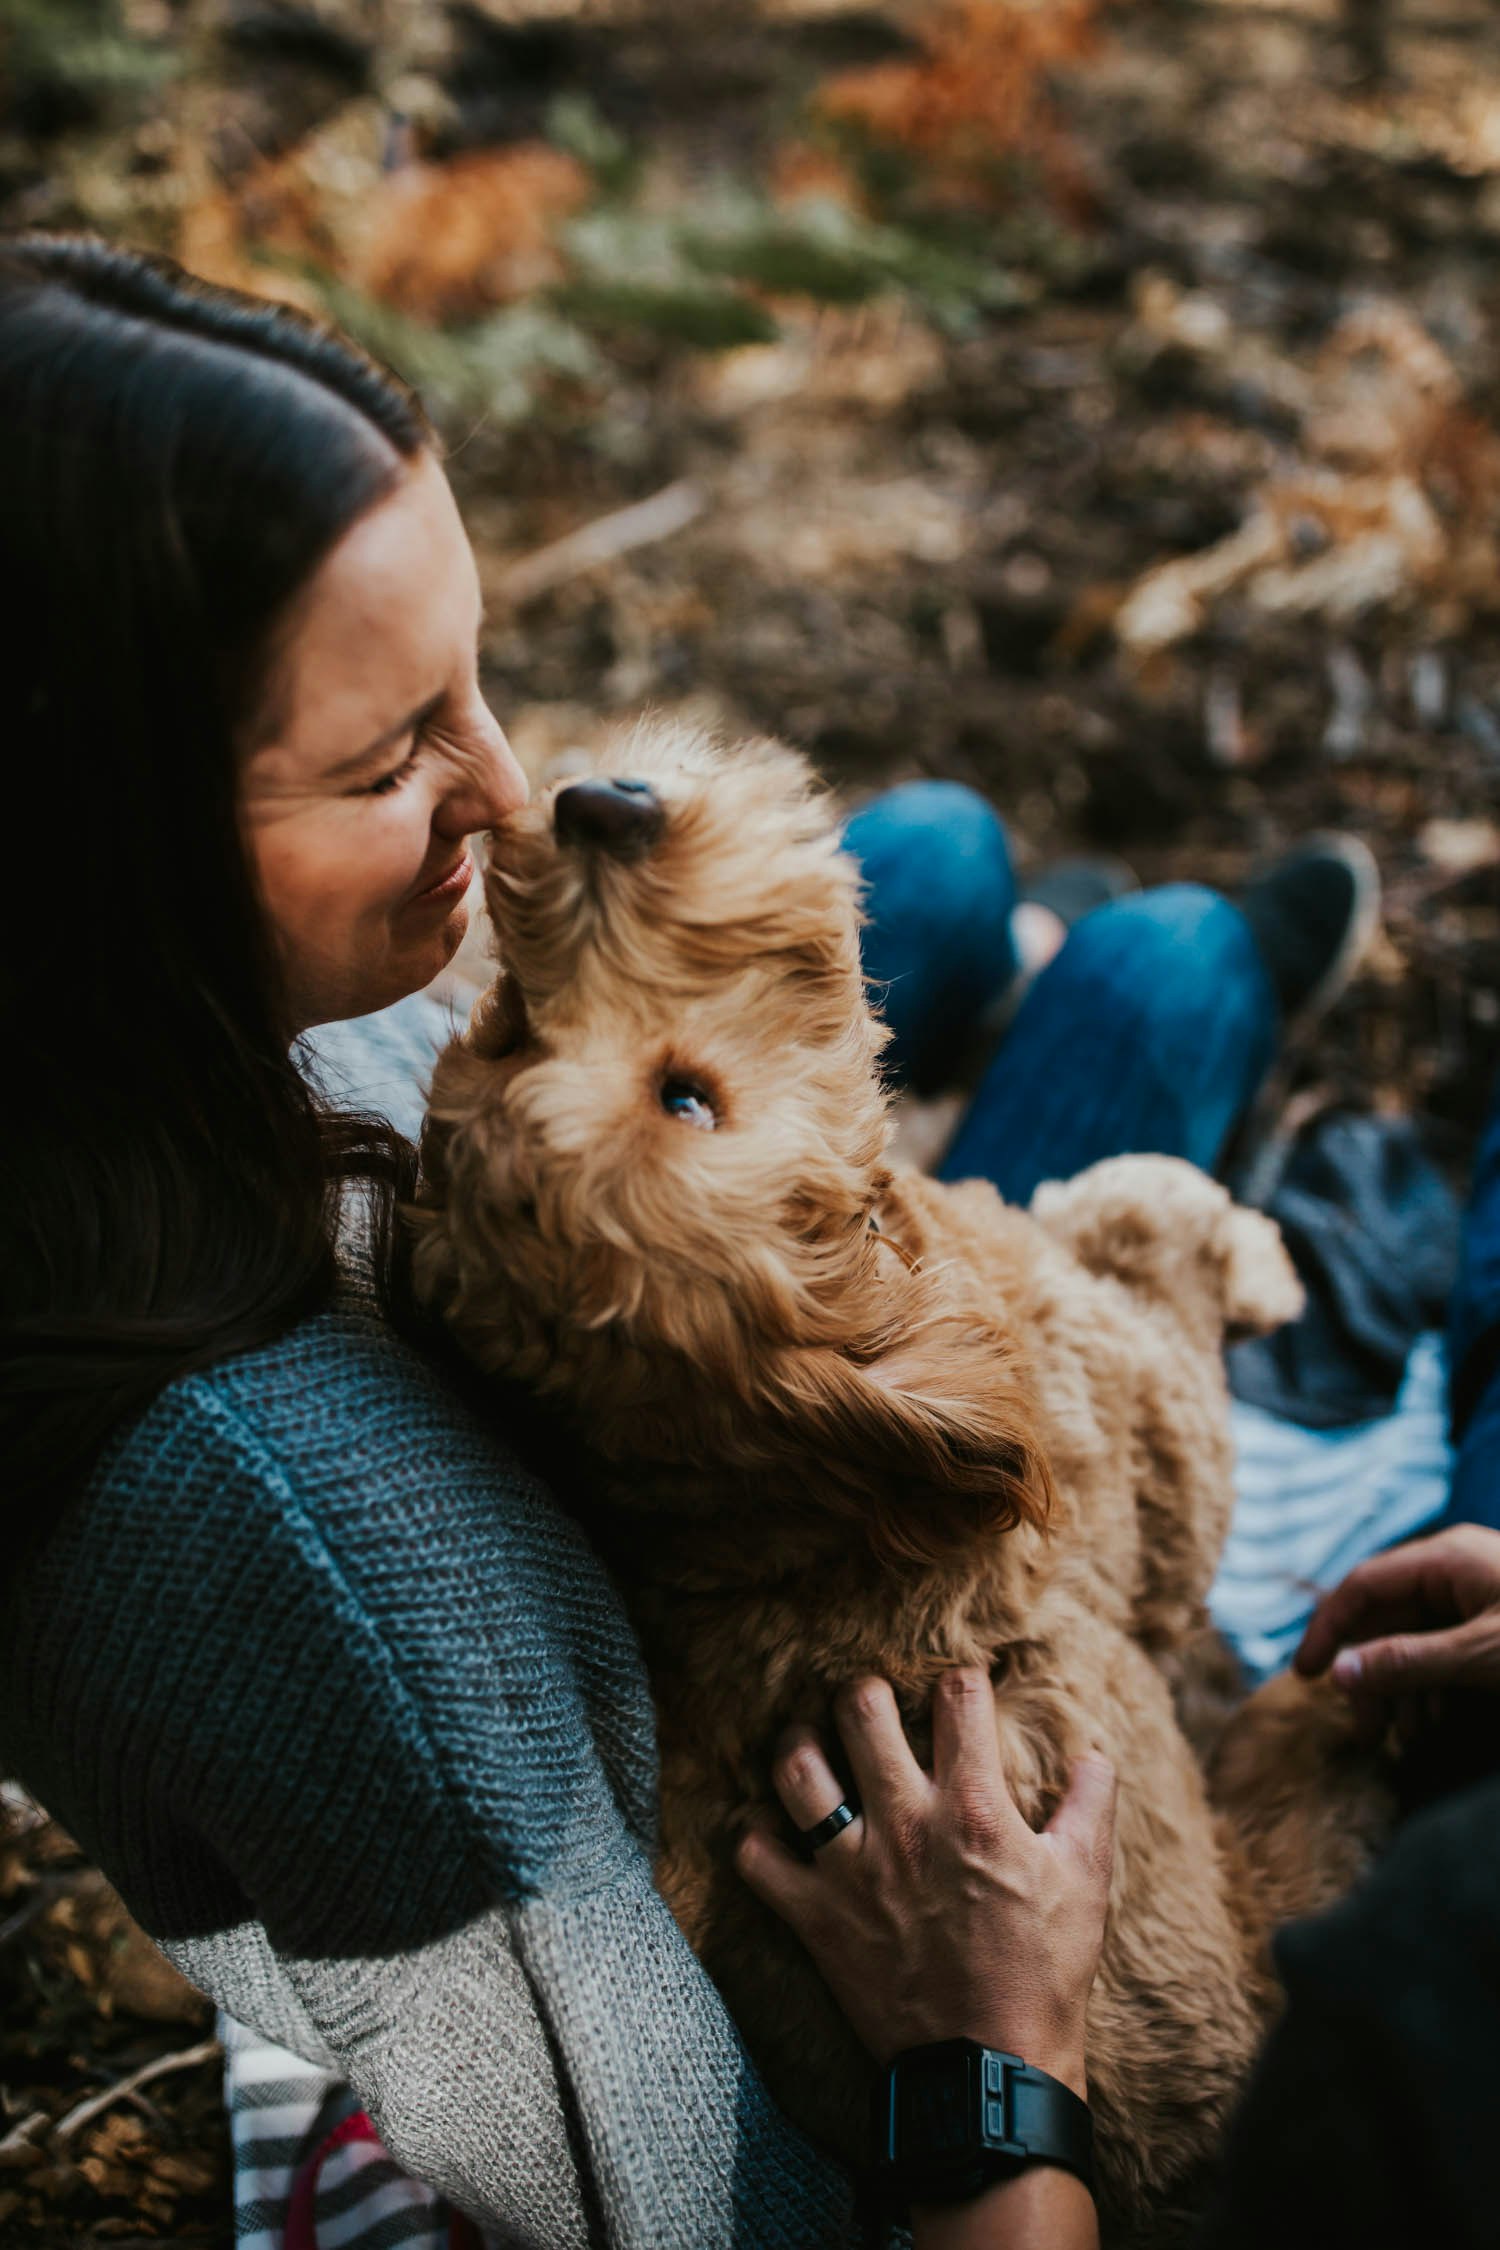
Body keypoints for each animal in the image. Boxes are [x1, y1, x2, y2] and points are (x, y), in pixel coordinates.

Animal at [411, 729, 1394, 2241]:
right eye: (688, 1099)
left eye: (512, 1028)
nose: (597, 806)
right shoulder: (1166, 1437)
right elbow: (1147, 1215)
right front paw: (1251, 1254)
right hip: (1308, 1771)